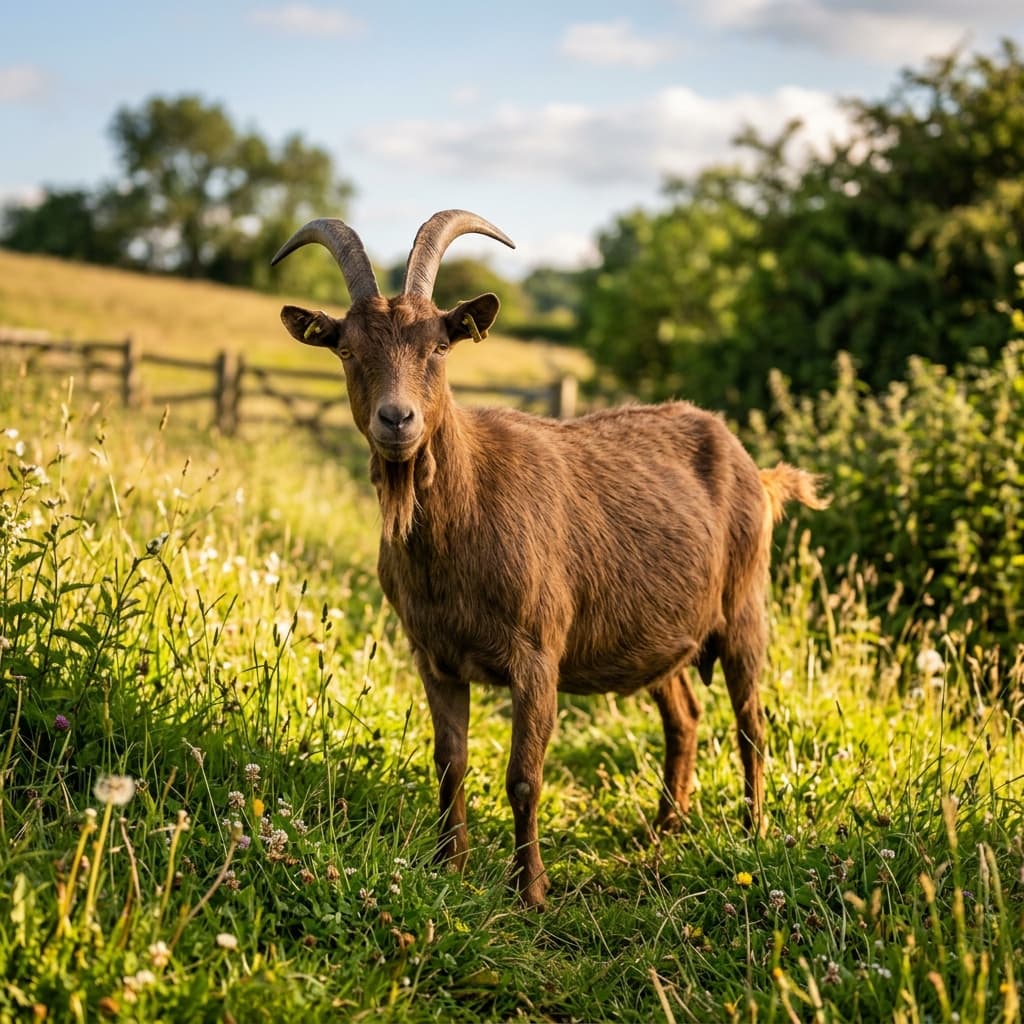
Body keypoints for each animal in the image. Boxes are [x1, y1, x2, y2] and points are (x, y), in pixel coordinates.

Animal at [272, 210, 828, 908]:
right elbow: (449, 763)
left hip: (745, 606)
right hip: (662, 633)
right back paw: (665, 828)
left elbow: (523, 775)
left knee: (751, 720)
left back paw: (753, 831)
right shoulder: (435, 656)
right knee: (685, 716)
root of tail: (756, 468)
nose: (396, 420)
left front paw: (529, 890)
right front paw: (448, 867)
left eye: (440, 347)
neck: (462, 523)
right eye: (347, 349)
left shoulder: (537, 653)